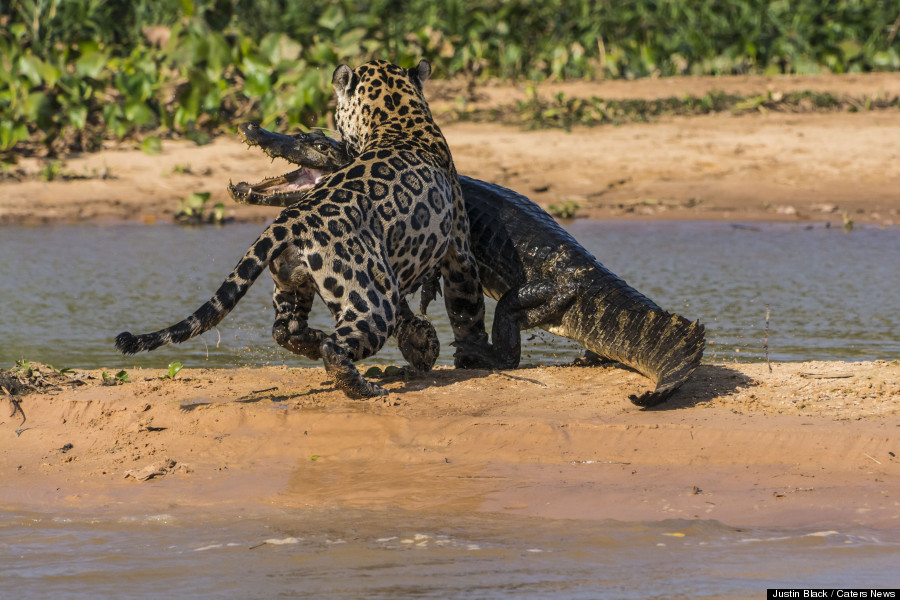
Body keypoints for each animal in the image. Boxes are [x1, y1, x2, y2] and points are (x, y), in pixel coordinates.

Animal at [116, 59, 493, 398]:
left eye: (314, 139)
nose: (253, 128)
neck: (397, 115)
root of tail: (293, 218)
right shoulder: (459, 250)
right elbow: (466, 308)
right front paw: (473, 358)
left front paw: (424, 344)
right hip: (371, 299)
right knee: (336, 345)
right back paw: (364, 387)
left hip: (292, 283)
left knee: (286, 329)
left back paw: (316, 342)